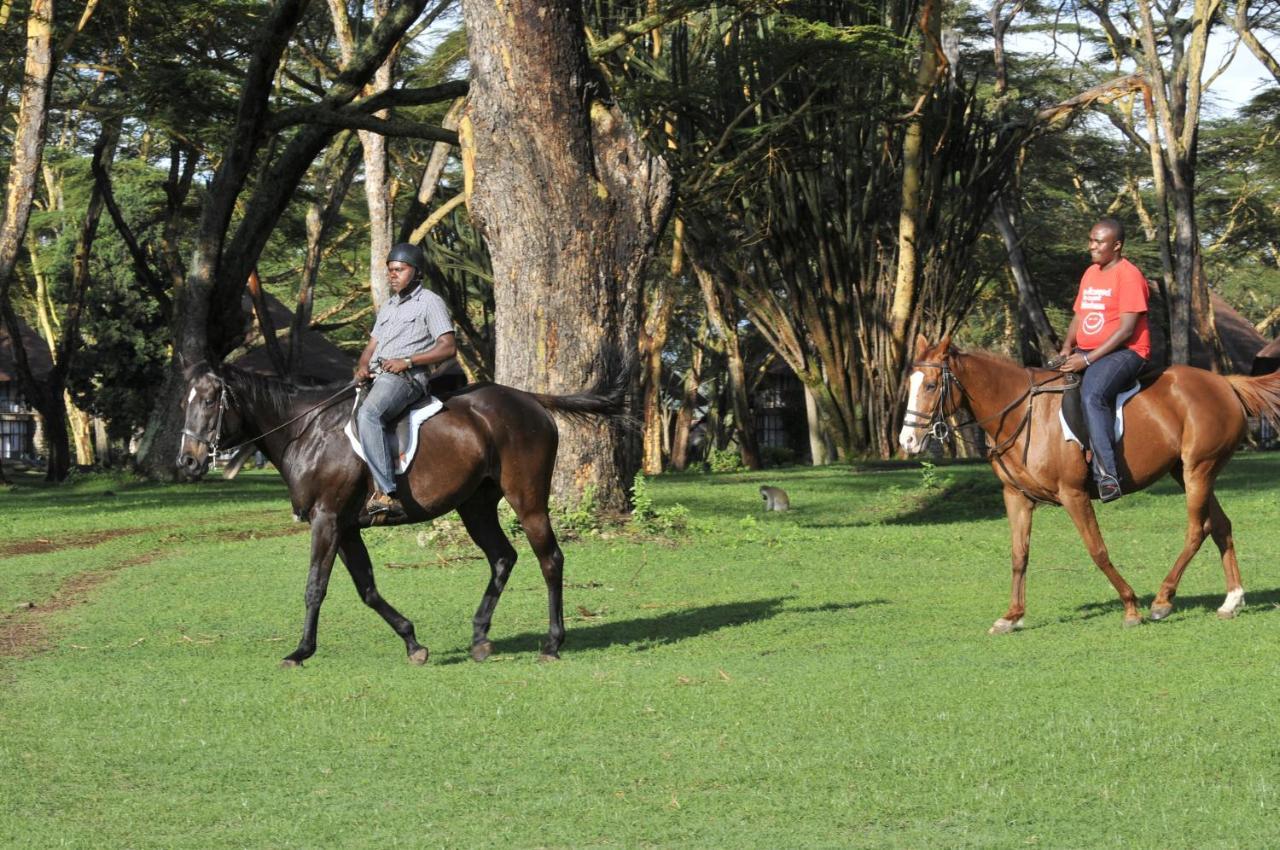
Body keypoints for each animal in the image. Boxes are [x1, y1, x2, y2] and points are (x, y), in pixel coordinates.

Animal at [174, 358, 624, 665]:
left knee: (550, 559)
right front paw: (413, 642)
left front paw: (300, 651)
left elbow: (315, 586)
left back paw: (552, 643)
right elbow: (367, 589)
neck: (308, 432)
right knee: (502, 557)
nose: (188, 462)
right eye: (185, 401)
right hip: (475, 505)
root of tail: (528, 399)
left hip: (527, 500)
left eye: (211, 400)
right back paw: (480, 637)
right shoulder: (346, 528)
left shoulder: (327, 520)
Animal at [901, 335, 1280, 634]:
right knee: (1221, 526)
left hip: (1197, 471)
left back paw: (1162, 599)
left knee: (1197, 530)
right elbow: (1019, 555)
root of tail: (1225, 383)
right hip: (1188, 471)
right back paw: (1231, 600)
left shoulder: (1074, 495)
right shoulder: (1016, 497)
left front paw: (1130, 607)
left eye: (931, 385)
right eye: (910, 385)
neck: (1022, 413)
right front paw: (1011, 616)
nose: (907, 440)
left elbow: (1097, 550)